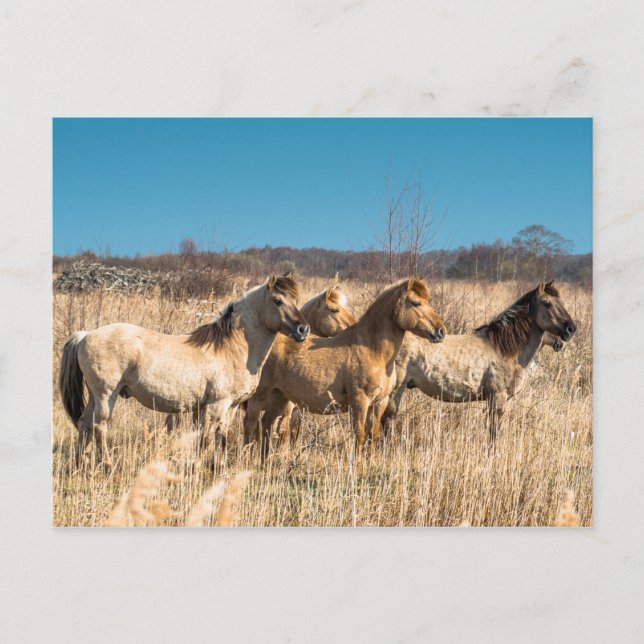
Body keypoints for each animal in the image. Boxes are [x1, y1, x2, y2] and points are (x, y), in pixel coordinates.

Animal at [59, 275, 310, 467]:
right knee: (99, 427)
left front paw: (218, 467)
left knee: (84, 423)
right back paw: (108, 466)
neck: (231, 348)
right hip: (105, 395)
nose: (303, 329)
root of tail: (85, 335)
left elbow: (220, 437)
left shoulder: (228, 407)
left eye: (295, 299)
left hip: (94, 395)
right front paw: (196, 467)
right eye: (277, 301)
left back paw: (82, 464)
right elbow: (206, 439)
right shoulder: (216, 405)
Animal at [242, 278, 447, 458]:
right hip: (261, 396)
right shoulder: (360, 402)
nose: (440, 331)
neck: (374, 351)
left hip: (280, 397)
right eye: (415, 302)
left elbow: (373, 436)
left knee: (266, 425)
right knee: (251, 424)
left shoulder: (379, 402)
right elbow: (360, 436)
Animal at [381, 280, 576, 441]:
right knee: (386, 419)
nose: (571, 329)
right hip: (396, 390)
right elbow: (493, 432)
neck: (504, 348)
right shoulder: (497, 398)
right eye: (547, 303)